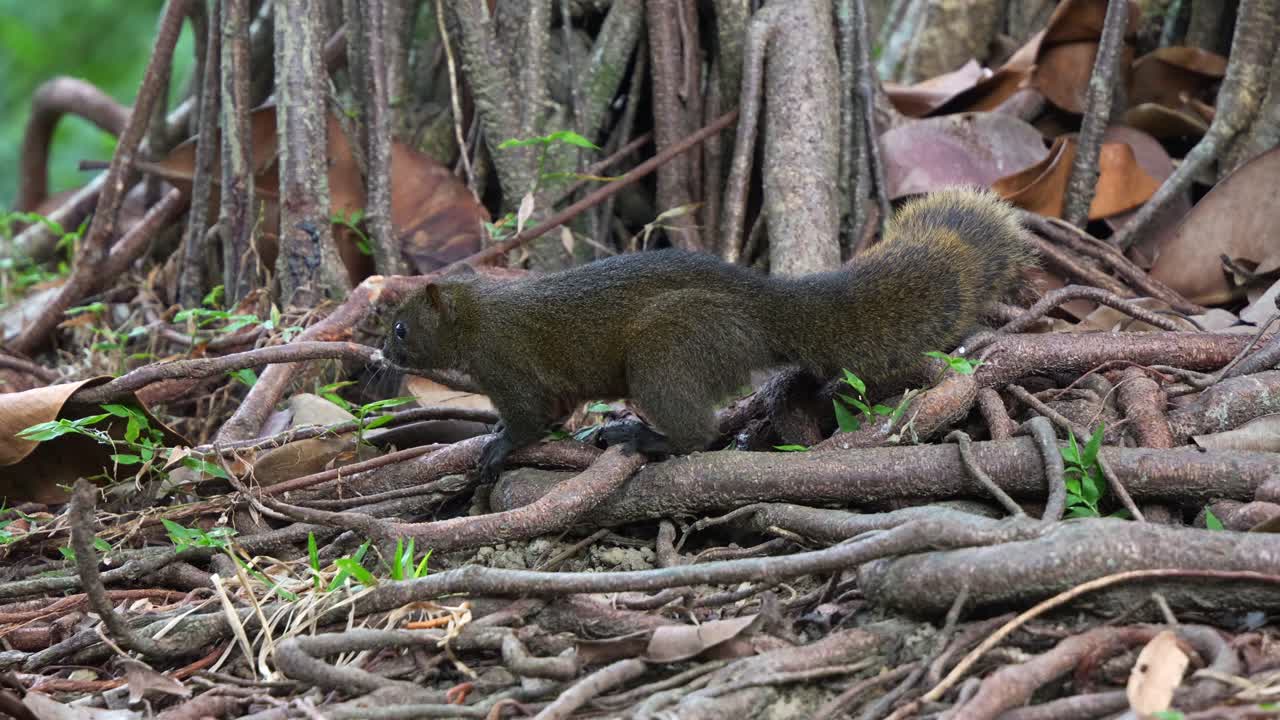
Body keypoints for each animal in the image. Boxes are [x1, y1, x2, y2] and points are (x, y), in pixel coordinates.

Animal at [383, 187, 1038, 481]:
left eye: (399, 327)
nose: (380, 354)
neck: (478, 314)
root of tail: (761, 305)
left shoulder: (509, 368)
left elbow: (528, 419)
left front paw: (496, 448)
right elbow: (557, 410)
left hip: (665, 353)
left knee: (698, 433)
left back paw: (643, 437)